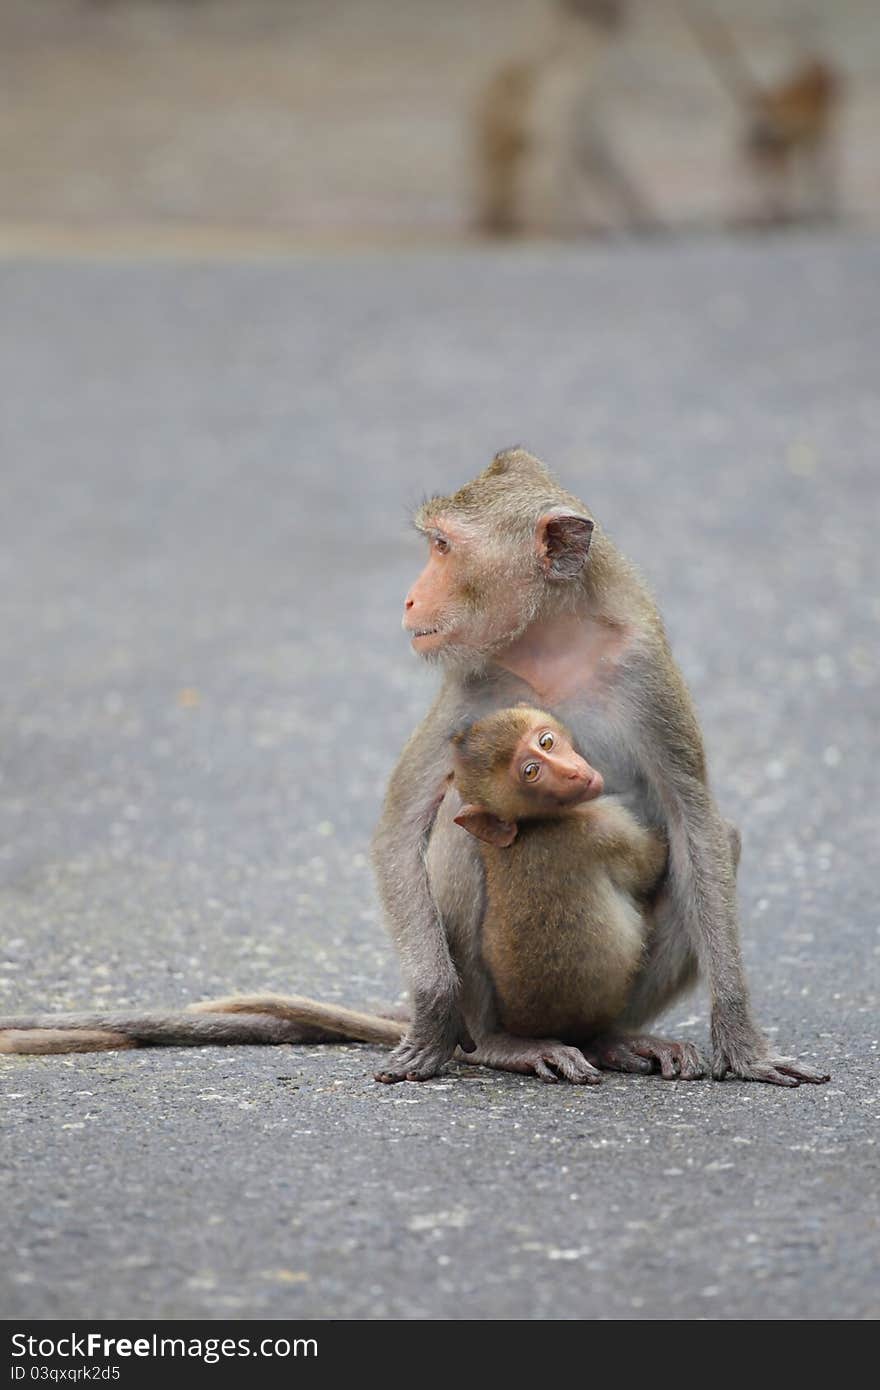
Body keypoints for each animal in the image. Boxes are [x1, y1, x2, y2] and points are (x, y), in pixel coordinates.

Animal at [453, 706, 686, 1073]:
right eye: (531, 772)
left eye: (546, 741)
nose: (571, 772)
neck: (532, 823)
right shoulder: (605, 825)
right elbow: (654, 865)